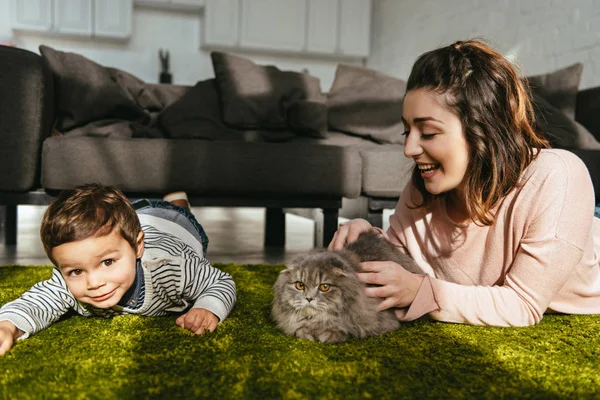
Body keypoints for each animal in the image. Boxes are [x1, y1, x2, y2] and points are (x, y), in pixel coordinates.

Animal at [272, 231, 422, 344]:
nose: (309, 298)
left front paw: (328, 335)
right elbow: (300, 329)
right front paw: (307, 334)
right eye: (300, 285)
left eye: (324, 287)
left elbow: (347, 329)